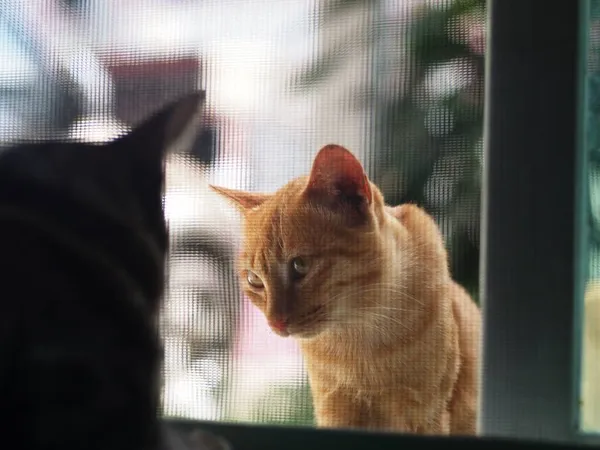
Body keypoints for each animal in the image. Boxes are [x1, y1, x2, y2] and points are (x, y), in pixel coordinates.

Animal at [211, 145, 482, 436]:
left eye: (300, 265)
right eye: (254, 280)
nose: (275, 323)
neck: (361, 339)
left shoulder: (424, 414)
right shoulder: (335, 405)